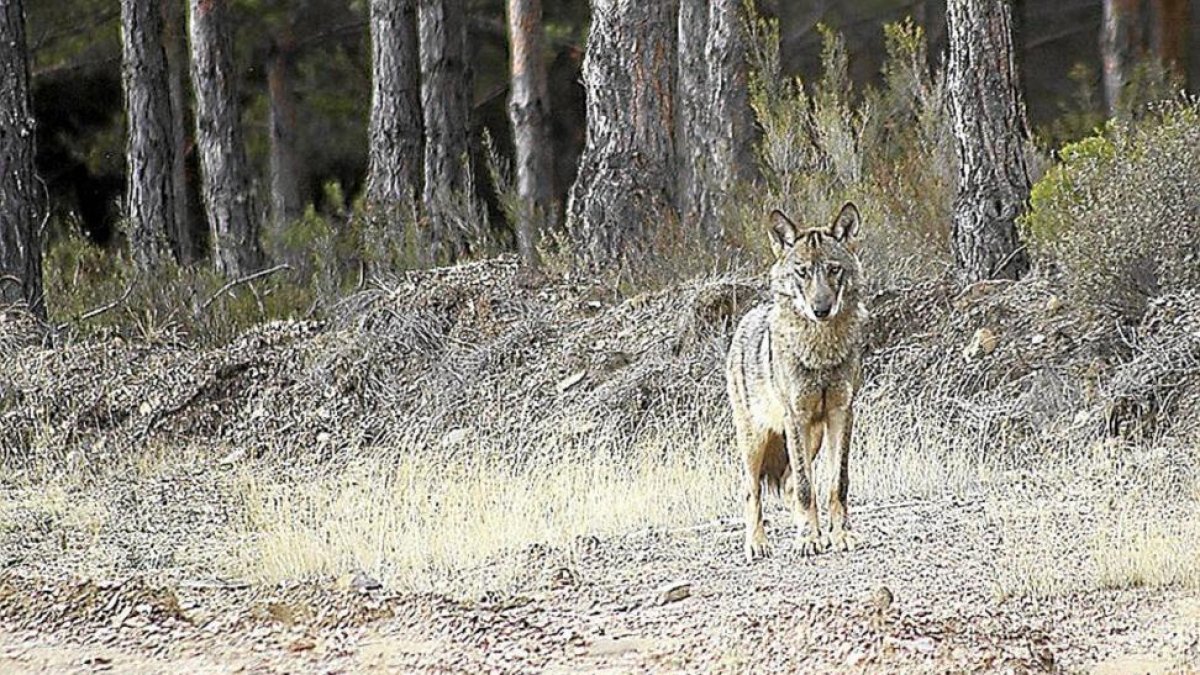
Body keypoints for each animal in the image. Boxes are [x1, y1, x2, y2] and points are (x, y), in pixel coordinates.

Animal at [725, 202, 867, 561]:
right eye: (802, 272)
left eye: (833, 270)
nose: (821, 309)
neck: (821, 351)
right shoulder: (796, 418)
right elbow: (806, 488)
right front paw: (807, 539)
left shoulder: (841, 413)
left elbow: (836, 484)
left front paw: (839, 535)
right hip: (756, 441)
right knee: (751, 490)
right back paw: (757, 544)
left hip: (812, 438)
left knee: (790, 484)